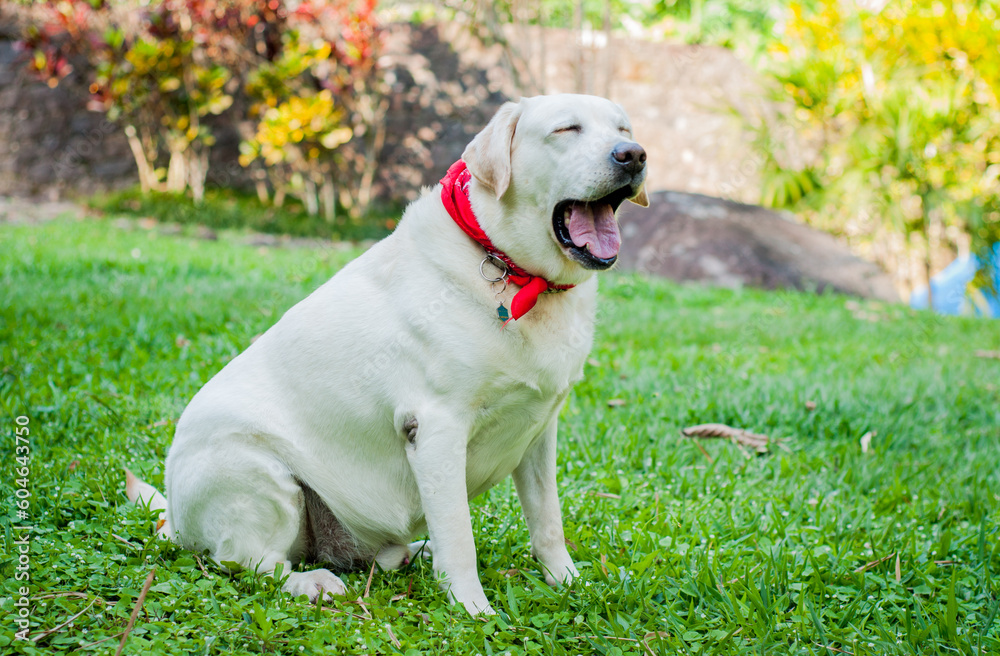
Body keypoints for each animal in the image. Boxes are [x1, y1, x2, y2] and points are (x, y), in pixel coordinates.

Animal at [127, 92, 648, 616]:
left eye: (622, 128)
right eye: (567, 129)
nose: (633, 155)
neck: (511, 268)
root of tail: (173, 517)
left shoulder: (539, 430)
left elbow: (547, 520)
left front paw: (568, 581)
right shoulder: (436, 428)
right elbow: (459, 536)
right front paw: (472, 608)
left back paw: (408, 554)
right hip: (256, 470)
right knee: (246, 560)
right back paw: (311, 583)